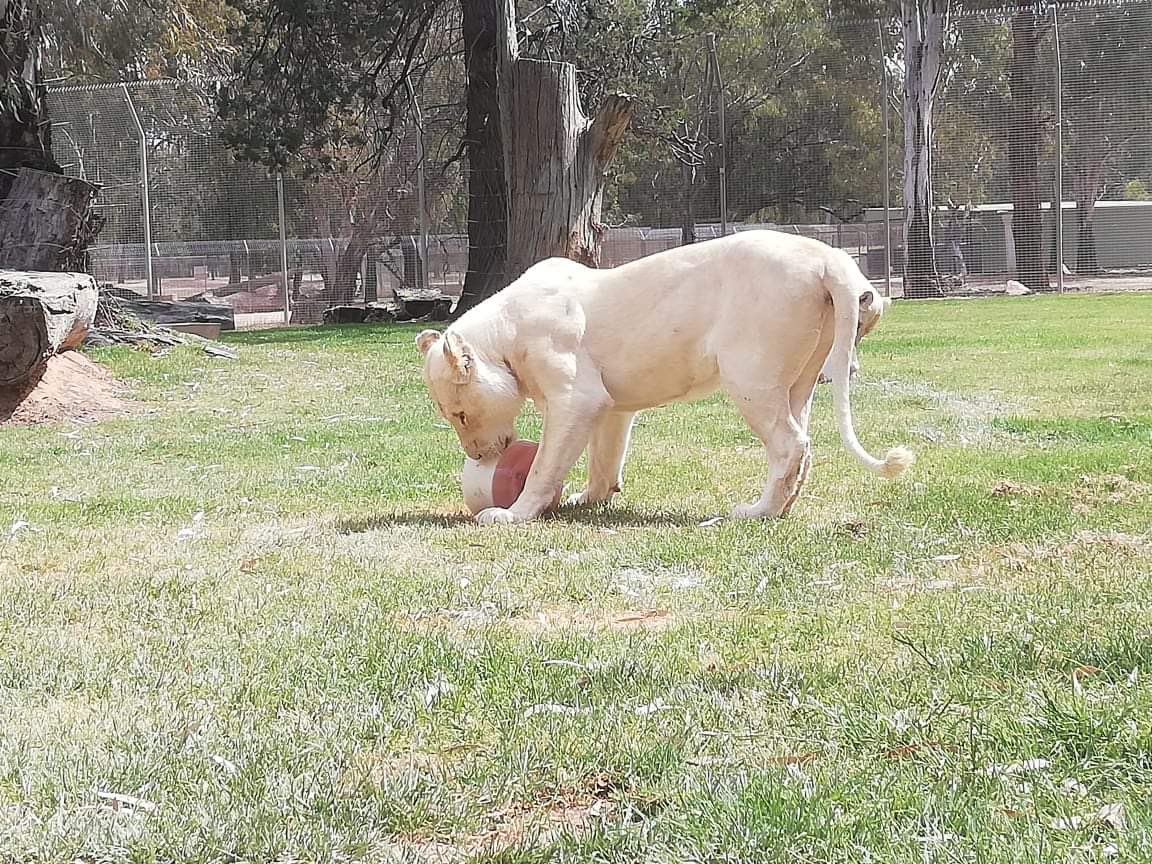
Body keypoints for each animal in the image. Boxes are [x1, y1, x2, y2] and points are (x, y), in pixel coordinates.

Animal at [417, 229, 913, 524]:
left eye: (459, 415)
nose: (478, 455)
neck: (502, 337)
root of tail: (829, 259)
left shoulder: (574, 398)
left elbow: (544, 464)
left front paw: (512, 514)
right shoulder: (609, 406)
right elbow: (604, 457)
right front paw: (590, 497)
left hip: (750, 378)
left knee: (791, 444)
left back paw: (756, 512)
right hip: (797, 381)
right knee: (801, 445)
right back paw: (782, 508)